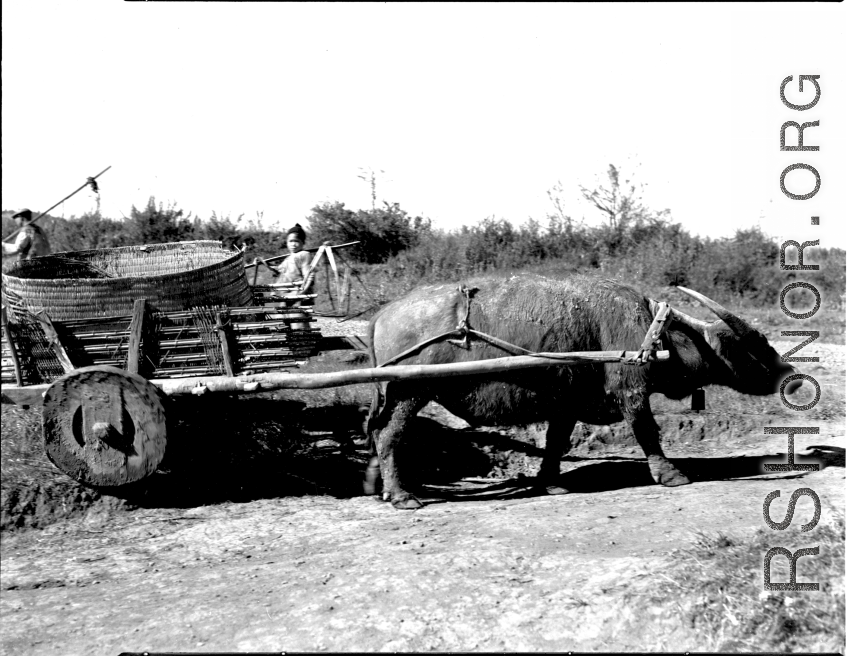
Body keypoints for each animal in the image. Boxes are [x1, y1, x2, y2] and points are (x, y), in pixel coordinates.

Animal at [366, 272, 800, 508]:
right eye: (755, 344)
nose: (789, 373)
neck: (655, 334)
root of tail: (384, 313)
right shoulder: (632, 393)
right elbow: (648, 433)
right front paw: (671, 474)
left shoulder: (566, 404)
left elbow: (556, 442)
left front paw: (551, 483)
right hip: (410, 392)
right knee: (389, 435)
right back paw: (402, 494)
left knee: (377, 431)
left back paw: (379, 485)